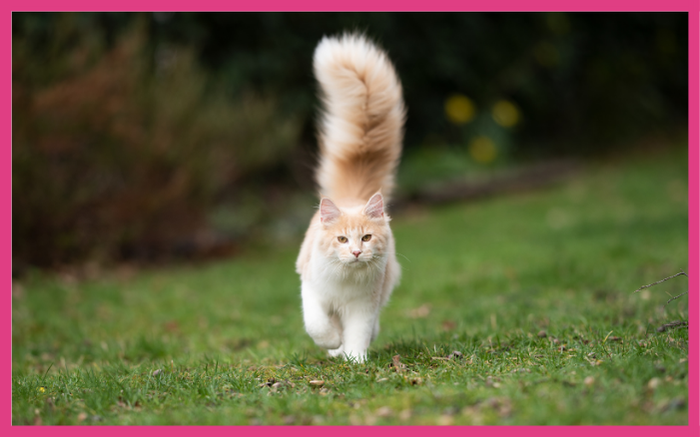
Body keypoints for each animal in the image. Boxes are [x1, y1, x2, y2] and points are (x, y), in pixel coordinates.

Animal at [296, 33, 404, 362]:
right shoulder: (312, 291)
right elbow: (318, 326)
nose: (356, 252)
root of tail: (351, 196)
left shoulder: (363, 305)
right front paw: (333, 345)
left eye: (366, 238)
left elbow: (358, 333)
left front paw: (356, 361)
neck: (346, 279)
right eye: (342, 240)